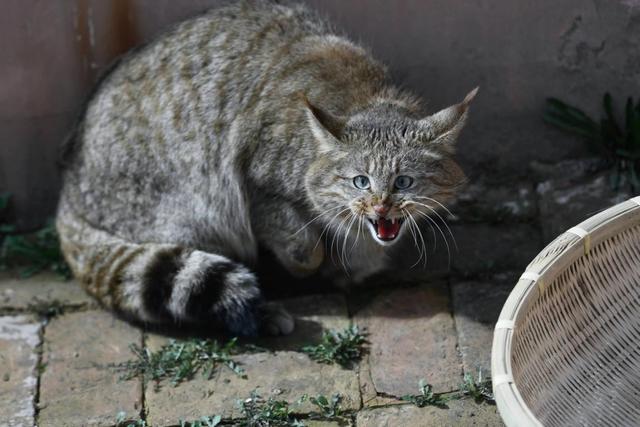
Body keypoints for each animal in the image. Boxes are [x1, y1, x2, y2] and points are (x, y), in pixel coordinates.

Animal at [56, 0, 476, 338]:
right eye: (361, 181)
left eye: (404, 182)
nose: (380, 206)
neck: (365, 97)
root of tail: (69, 185)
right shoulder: (254, 182)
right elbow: (302, 244)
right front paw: (313, 262)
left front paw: (351, 260)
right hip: (188, 203)